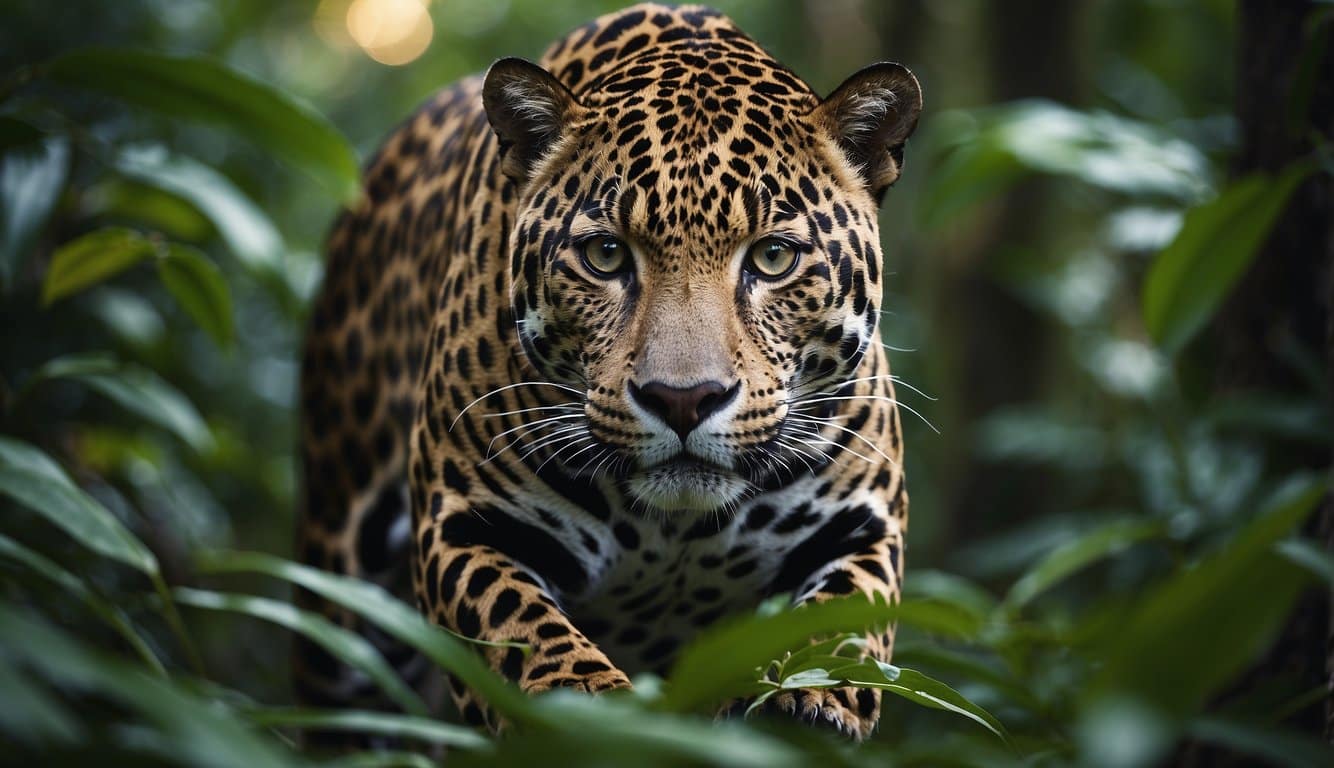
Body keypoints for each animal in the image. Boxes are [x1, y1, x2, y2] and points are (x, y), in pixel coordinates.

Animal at [296, 2, 920, 742]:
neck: (674, 529)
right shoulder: (464, 525)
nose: (684, 400)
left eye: (772, 258)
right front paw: (585, 710)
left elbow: (843, 629)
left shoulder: (862, 526)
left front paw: (808, 697)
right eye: (604, 255)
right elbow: (524, 631)